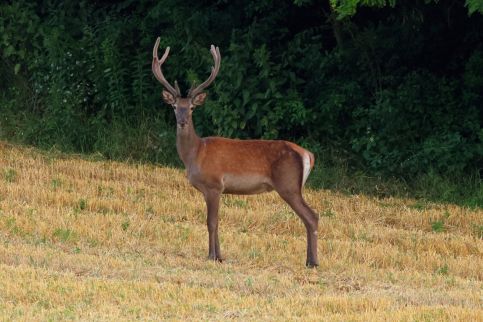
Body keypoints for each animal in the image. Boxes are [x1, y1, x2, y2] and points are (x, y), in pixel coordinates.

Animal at [153, 37, 322, 266]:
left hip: (288, 185)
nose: (182, 121)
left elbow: (211, 222)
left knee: (312, 216)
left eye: (192, 108)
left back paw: (313, 262)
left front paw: (212, 256)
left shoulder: (214, 184)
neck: (195, 153)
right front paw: (220, 256)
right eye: (174, 106)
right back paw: (309, 260)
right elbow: (216, 222)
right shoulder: (213, 190)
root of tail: (308, 155)